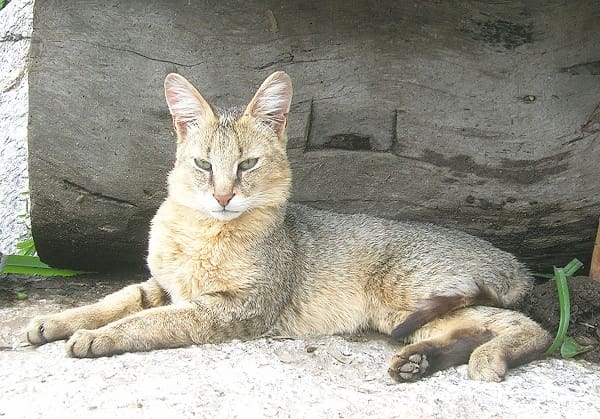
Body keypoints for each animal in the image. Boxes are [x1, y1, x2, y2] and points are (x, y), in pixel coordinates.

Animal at [24, 73, 548, 384]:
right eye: (203, 165)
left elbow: (151, 321)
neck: (201, 234)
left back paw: (487, 359)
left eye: (248, 165)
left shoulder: (236, 308)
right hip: (411, 315)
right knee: (478, 329)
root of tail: (516, 263)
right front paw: (61, 320)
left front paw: (98, 337)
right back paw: (419, 362)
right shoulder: (165, 286)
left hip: (412, 297)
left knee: (532, 329)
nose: (223, 197)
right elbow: (115, 301)